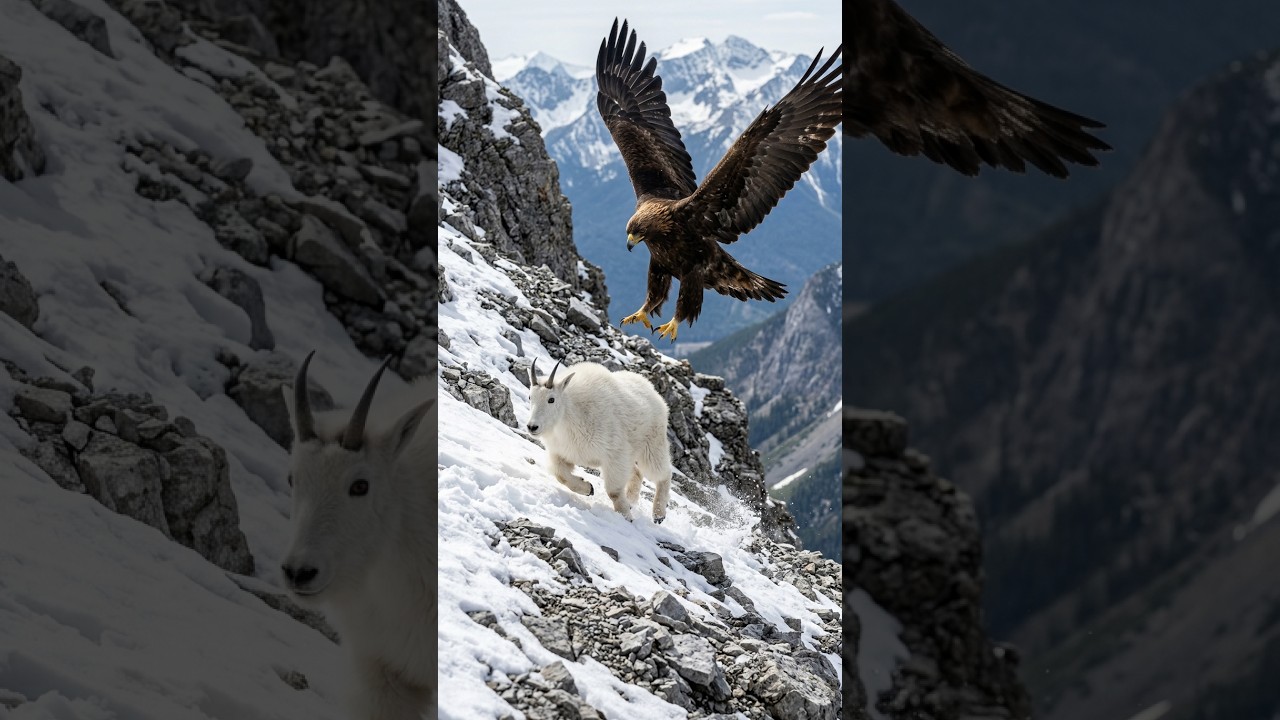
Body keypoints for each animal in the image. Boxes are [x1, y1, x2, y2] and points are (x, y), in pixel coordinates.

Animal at [525, 360, 672, 523]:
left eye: (551, 399)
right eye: (530, 397)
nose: (532, 427)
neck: (568, 417)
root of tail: (655, 394)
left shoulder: (614, 454)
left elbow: (614, 491)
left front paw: (625, 516)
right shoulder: (562, 452)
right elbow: (560, 475)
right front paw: (588, 488)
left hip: (652, 445)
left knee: (663, 473)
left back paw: (658, 513)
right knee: (638, 472)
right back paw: (630, 500)